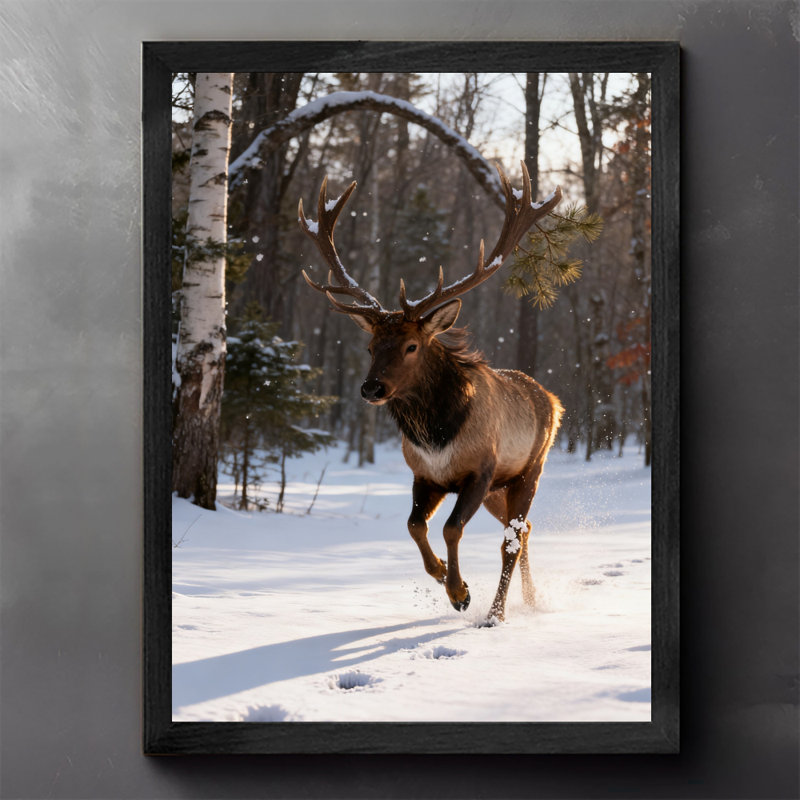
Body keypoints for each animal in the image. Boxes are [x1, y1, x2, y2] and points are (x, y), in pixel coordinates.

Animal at [298, 163, 564, 623]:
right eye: (371, 347)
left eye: (411, 346)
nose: (371, 387)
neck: (437, 434)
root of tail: (553, 400)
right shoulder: (424, 475)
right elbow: (414, 526)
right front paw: (443, 576)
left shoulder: (481, 470)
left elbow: (451, 528)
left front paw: (461, 593)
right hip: (500, 490)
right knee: (523, 530)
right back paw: (528, 599)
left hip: (528, 471)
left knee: (511, 539)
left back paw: (496, 613)